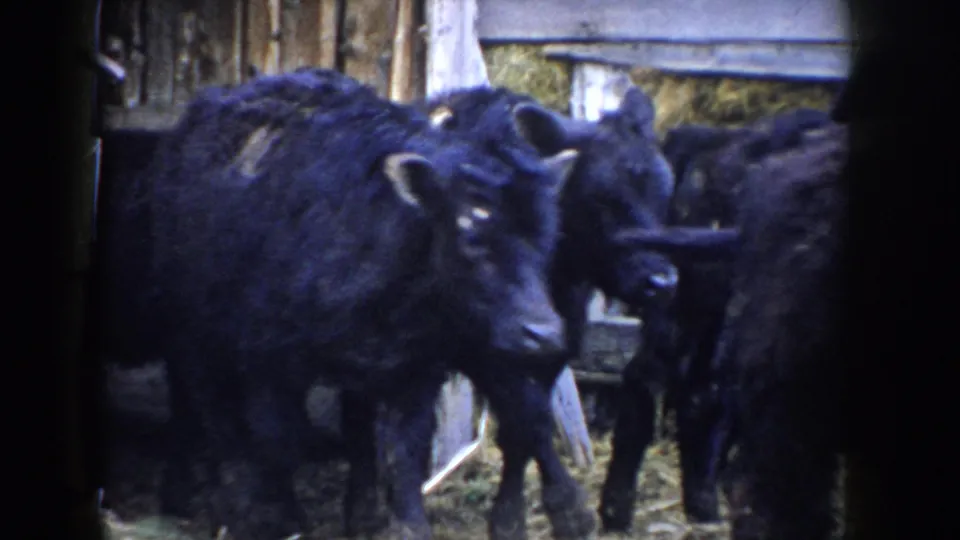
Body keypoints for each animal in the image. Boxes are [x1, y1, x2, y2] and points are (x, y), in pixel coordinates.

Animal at [145, 68, 580, 540]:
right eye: (470, 237)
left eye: (549, 236)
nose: (543, 333)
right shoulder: (267, 358)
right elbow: (277, 440)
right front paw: (280, 517)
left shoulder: (413, 368)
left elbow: (404, 454)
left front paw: (407, 526)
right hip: (195, 332)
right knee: (209, 410)